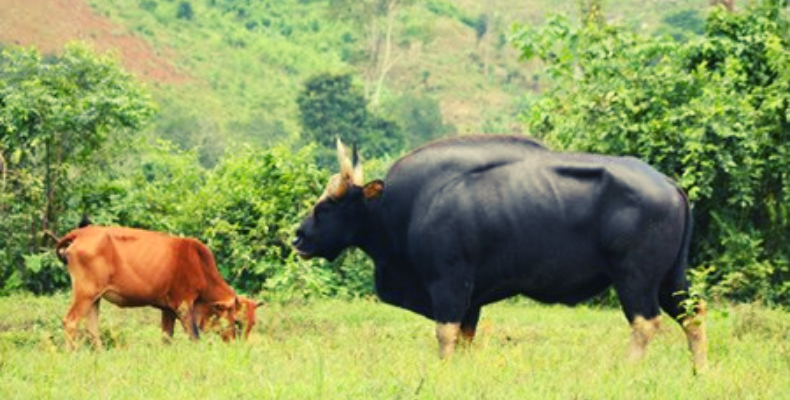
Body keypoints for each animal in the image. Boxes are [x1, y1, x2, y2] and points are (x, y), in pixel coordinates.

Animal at [55, 225, 259, 349]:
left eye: (252, 324)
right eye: (238, 322)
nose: (241, 349)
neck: (200, 265)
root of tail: (82, 233)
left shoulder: (167, 309)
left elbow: (166, 337)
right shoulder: (183, 305)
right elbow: (194, 336)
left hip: (94, 297)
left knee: (92, 328)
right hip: (85, 293)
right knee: (70, 321)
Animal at [293, 136, 708, 372]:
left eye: (327, 206)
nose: (298, 237)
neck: (407, 207)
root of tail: (670, 184)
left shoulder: (449, 284)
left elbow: (444, 336)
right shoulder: (472, 299)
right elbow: (463, 338)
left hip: (635, 278)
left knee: (645, 323)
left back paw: (626, 370)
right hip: (671, 277)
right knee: (693, 315)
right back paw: (699, 372)